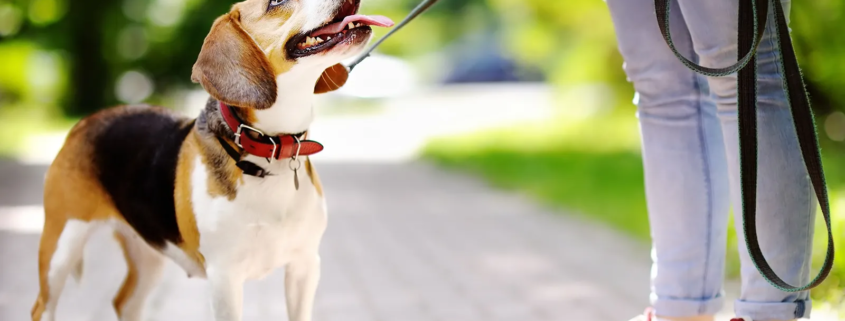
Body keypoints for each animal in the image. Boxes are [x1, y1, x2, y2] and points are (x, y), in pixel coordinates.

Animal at [28, 0, 392, 320]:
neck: (269, 148)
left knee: (125, 303)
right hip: (61, 246)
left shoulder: (304, 266)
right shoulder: (225, 278)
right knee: (42, 306)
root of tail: (85, 122)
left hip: (149, 253)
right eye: (277, 1)